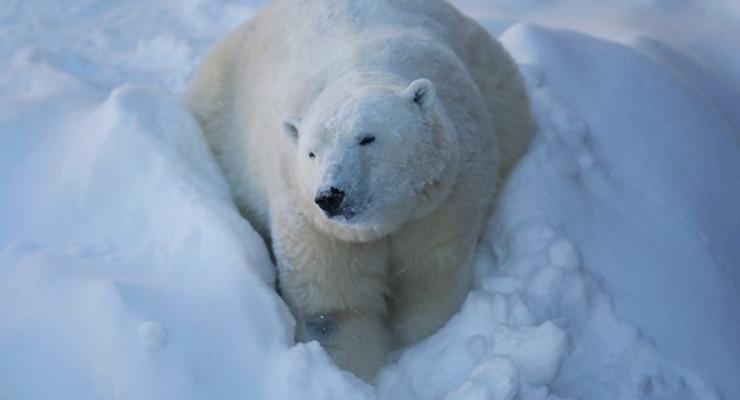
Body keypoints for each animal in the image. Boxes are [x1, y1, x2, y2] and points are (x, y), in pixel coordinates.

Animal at [188, 0, 528, 382]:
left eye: (367, 138)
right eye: (311, 152)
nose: (331, 195)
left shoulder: (441, 200)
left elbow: (430, 276)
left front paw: (418, 342)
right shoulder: (317, 224)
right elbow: (335, 306)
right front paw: (355, 374)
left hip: (496, 79)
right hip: (219, 109)